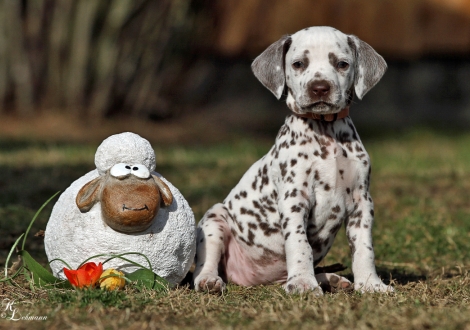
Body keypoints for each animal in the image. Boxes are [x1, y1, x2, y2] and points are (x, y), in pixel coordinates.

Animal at [193, 25, 392, 294]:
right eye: (298, 64)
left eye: (342, 64)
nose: (320, 87)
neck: (326, 133)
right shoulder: (294, 198)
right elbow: (299, 243)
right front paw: (303, 283)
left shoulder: (362, 201)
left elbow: (364, 248)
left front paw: (371, 284)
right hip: (214, 220)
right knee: (205, 263)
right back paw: (209, 280)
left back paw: (330, 278)